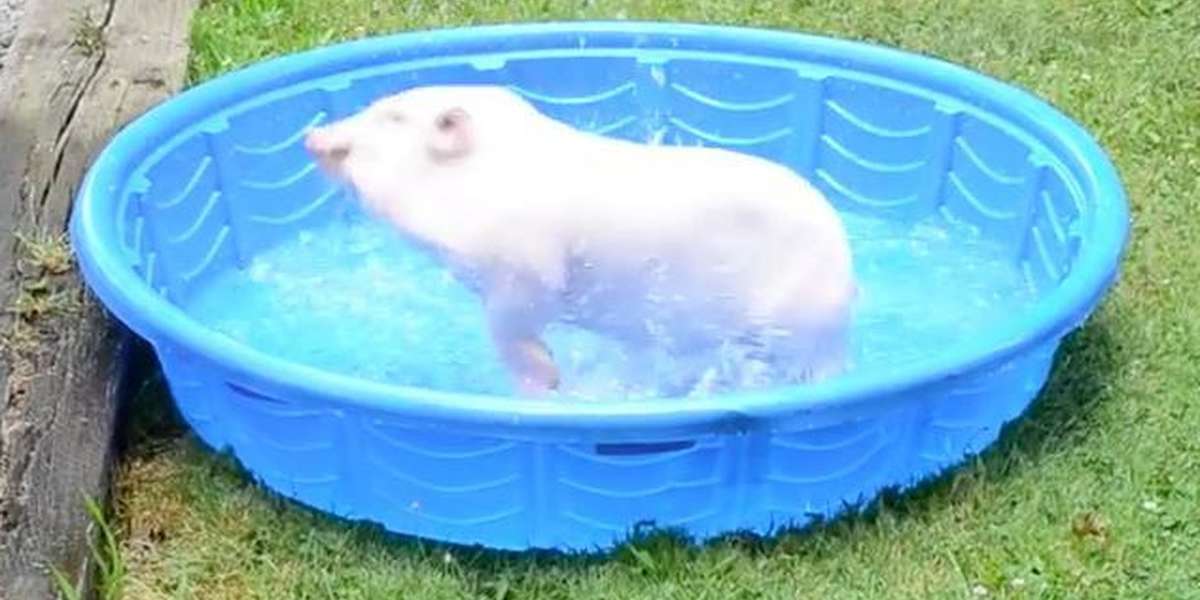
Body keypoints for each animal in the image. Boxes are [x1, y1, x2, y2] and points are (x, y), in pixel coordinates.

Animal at [304, 84, 856, 397]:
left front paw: (547, 387)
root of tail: (847, 285)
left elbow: (510, 328)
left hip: (792, 325)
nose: (311, 136)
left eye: (393, 119)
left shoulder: (528, 269)